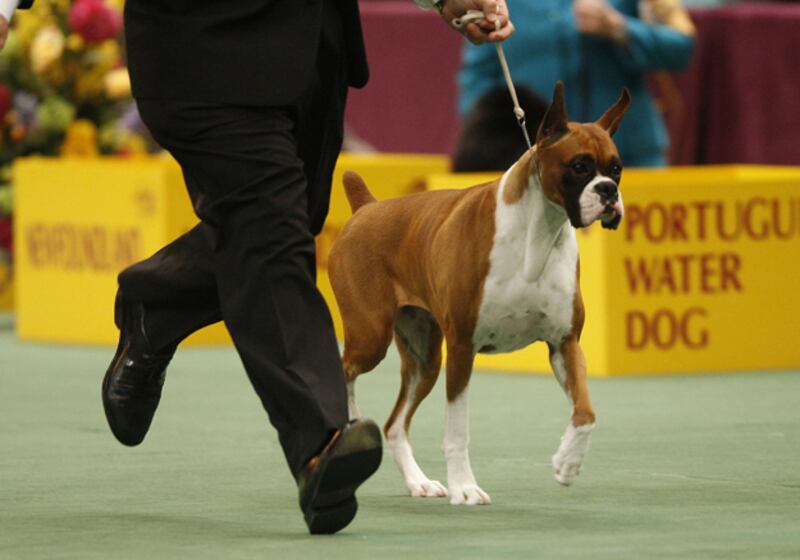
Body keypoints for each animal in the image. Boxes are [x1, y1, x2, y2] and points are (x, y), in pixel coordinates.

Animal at [328, 83, 628, 508]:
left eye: (616, 168)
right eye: (579, 166)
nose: (609, 191)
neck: (539, 231)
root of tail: (366, 209)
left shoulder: (564, 344)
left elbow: (585, 412)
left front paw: (567, 463)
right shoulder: (463, 347)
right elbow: (457, 431)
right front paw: (465, 487)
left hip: (424, 359)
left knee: (395, 424)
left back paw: (418, 481)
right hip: (372, 337)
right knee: (344, 369)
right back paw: (349, 423)